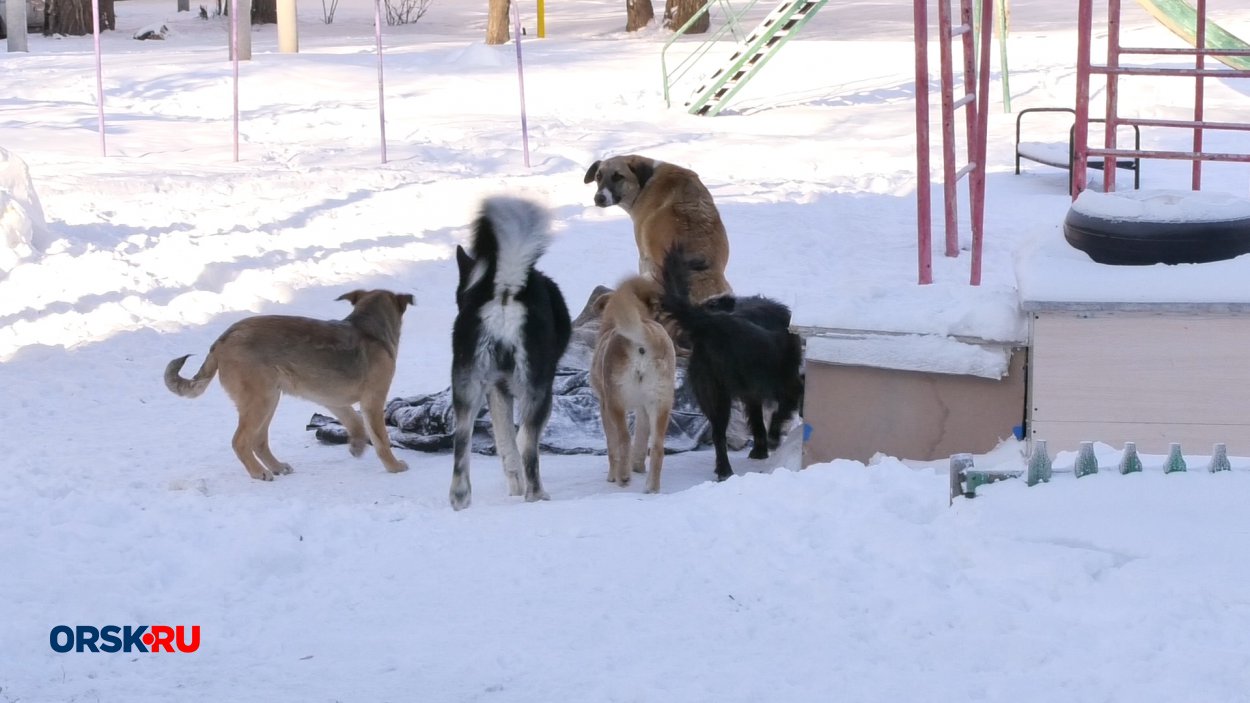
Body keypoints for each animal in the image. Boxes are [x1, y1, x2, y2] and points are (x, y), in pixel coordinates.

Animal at [161, 287, 412, 477]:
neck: (368, 328)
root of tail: (220, 341)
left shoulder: (334, 401)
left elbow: (356, 423)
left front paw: (357, 446)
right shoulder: (373, 400)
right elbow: (381, 439)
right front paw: (394, 466)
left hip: (269, 399)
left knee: (258, 441)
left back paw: (277, 466)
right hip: (262, 400)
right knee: (240, 441)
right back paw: (258, 472)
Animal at [450, 193, 572, 505]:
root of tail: (505, 289)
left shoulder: (496, 391)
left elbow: (507, 444)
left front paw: (514, 484)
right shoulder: (537, 392)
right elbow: (523, 440)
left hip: (467, 389)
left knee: (461, 442)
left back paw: (460, 496)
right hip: (536, 388)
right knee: (528, 445)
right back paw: (536, 495)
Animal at [590, 273, 680, 492]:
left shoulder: (604, 405)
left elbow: (612, 445)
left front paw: (612, 476)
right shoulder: (643, 409)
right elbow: (641, 438)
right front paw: (637, 467)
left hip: (616, 402)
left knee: (623, 439)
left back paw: (623, 477)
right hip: (662, 403)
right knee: (657, 447)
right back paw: (651, 487)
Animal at [660, 246, 805, 480]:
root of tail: (711, 324)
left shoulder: (752, 394)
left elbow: (757, 421)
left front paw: (760, 450)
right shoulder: (788, 386)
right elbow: (779, 412)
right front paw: (772, 440)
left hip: (713, 392)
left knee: (718, 434)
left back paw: (723, 470)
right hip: (734, 390)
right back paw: (728, 469)